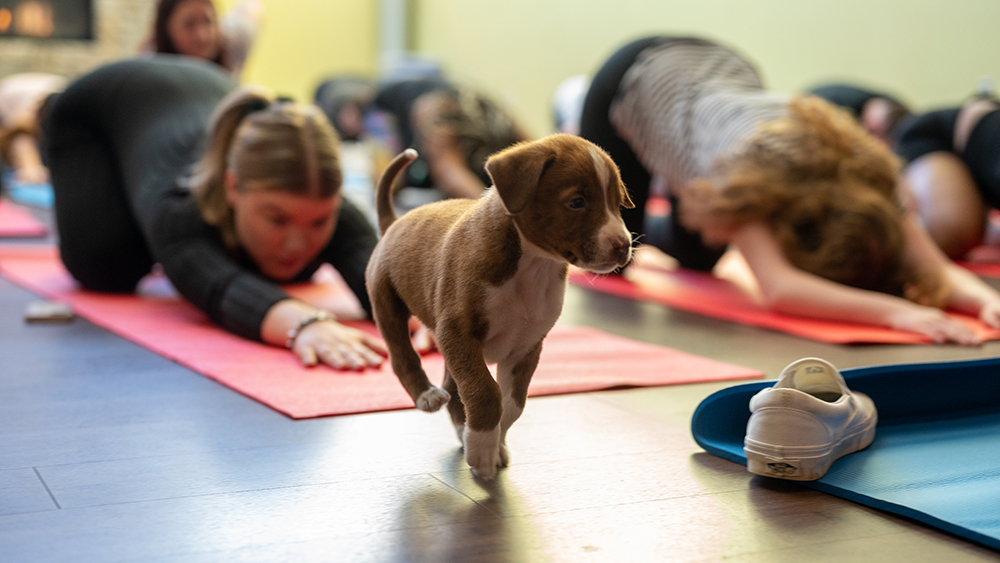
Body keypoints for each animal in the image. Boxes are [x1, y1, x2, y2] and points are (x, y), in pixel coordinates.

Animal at [368, 133, 632, 480]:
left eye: (618, 203)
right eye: (577, 202)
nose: (624, 245)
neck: (533, 264)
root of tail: (394, 222)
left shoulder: (526, 345)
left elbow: (513, 404)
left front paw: (491, 445)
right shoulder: (458, 332)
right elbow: (485, 392)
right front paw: (482, 451)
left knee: (454, 389)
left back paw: (463, 431)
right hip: (387, 301)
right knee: (402, 356)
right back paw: (427, 395)